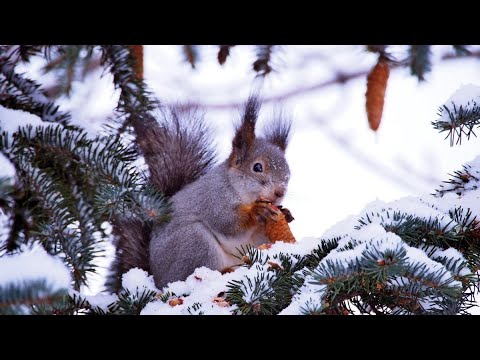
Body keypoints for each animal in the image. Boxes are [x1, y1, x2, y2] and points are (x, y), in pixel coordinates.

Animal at [106, 96, 290, 292]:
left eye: (288, 172)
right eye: (257, 167)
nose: (279, 192)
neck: (239, 191)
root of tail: (157, 280)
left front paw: (286, 213)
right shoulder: (214, 199)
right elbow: (228, 223)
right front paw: (257, 212)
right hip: (194, 242)